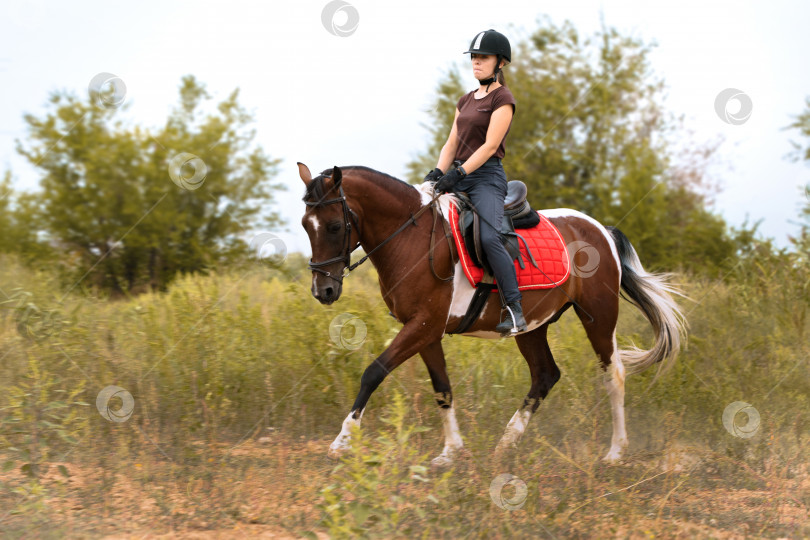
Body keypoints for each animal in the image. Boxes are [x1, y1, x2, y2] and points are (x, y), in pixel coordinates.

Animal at [298, 162, 688, 466]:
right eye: (305, 225)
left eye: (334, 226)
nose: (323, 291)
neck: (413, 238)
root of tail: (600, 229)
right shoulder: (426, 331)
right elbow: (443, 389)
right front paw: (451, 452)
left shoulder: (423, 326)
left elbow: (374, 372)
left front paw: (342, 440)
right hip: (531, 326)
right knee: (545, 375)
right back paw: (506, 444)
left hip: (599, 318)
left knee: (613, 374)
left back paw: (615, 452)